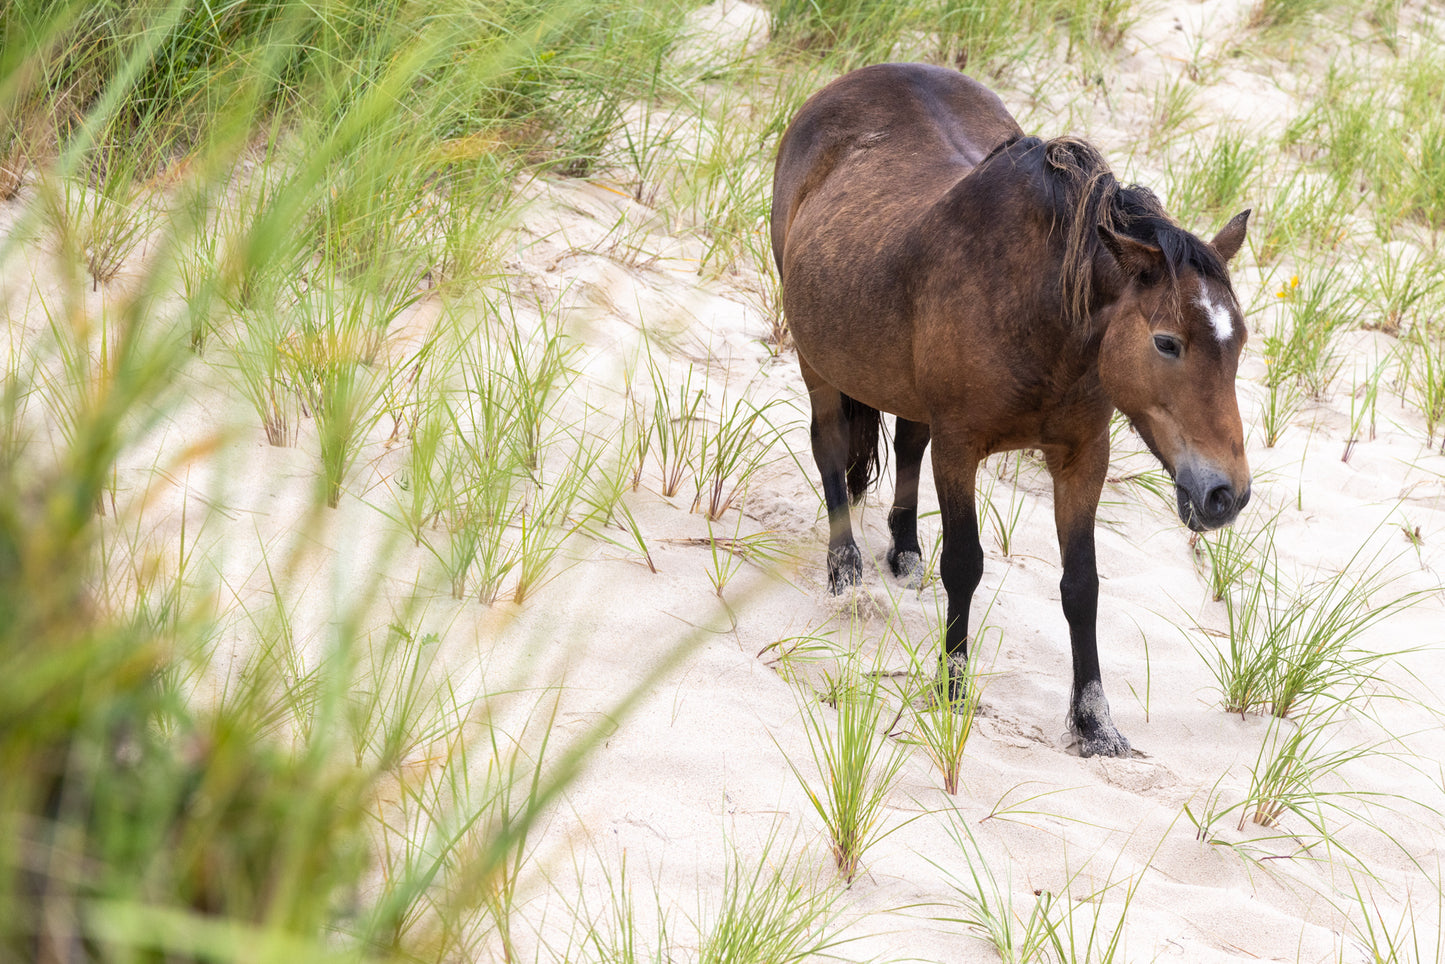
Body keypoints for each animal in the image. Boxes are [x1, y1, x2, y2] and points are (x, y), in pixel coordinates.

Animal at [768, 63, 1254, 757]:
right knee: (830, 445)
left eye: (1238, 341)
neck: (1040, 314)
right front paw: (951, 688)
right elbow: (965, 565)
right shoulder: (960, 449)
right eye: (1168, 342)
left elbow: (1082, 587)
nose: (1226, 495)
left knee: (908, 442)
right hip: (818, 363)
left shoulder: (1082, 459)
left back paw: (903, 552)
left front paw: (1094, 722)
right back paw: (845, 571)